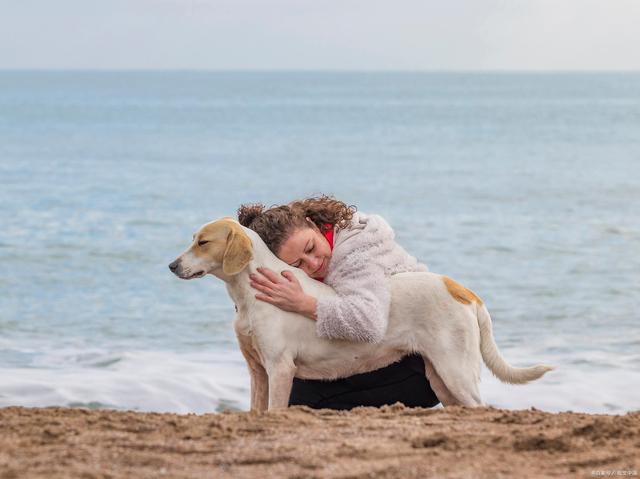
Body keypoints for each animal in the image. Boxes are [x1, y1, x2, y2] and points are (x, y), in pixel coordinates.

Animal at [168, 219, 552, 410]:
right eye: (193, 239)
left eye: (203, 242)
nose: (171, 265)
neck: (248, 292)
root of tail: (459, 288)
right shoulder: (257, 371)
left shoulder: (280, 368)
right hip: (441, 378)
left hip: (456, 371)